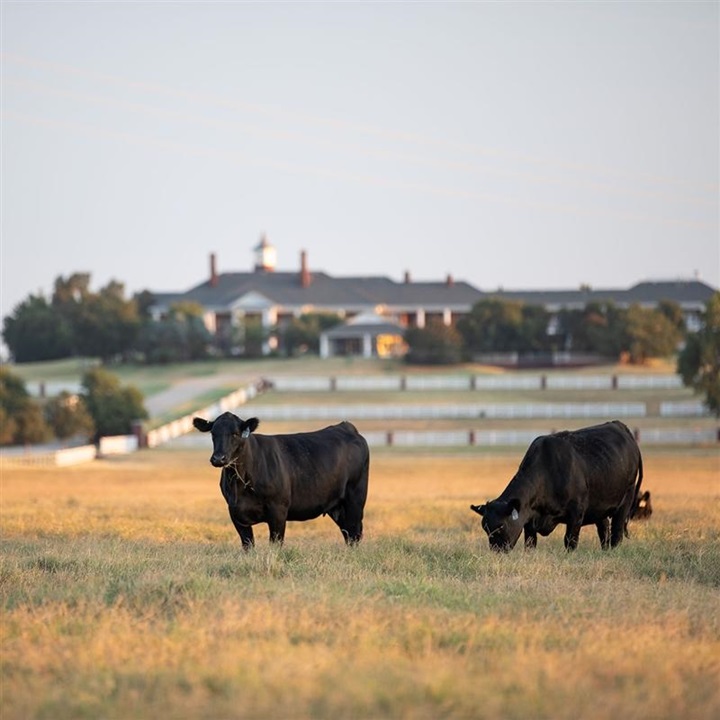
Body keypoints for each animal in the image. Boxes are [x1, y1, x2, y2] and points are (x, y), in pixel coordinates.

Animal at [193, 414, 372, 548]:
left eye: (235, 434)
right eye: (213, 433)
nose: (218, 458)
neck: (241, 483)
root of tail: (345, 426)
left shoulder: (278, 509)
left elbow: (276, 543)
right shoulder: (235, 512)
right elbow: (248, 544)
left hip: (355, 499)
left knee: (354, 532)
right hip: (337, 506)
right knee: (348, 533)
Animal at [470, 420, 644, 556]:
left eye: (501, 526)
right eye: (485, 528)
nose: (497, 552)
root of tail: (619, 425)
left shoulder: (576, 514)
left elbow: (570, 541)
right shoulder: (529, 521)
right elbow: (530, 544)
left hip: (626, 498)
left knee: (617, 532)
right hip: (599, 507)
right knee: (604, 530)